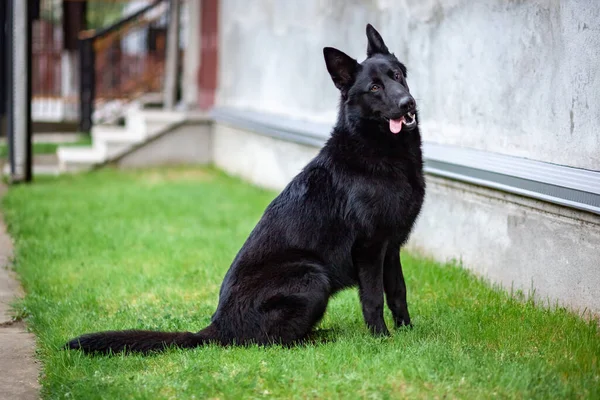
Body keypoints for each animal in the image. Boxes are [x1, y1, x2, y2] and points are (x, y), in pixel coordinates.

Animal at [68, 24, 424, 354]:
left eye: (397, 75)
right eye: (374, 87)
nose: (408, 104)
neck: (378, 149)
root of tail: (218, 326)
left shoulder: (391, 248)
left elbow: (398, 292)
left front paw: (409, 333)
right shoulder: (369, 248)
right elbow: (374, 298)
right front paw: (382, 339)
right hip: (312, 275)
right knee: (270, 341)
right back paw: (317, 339)